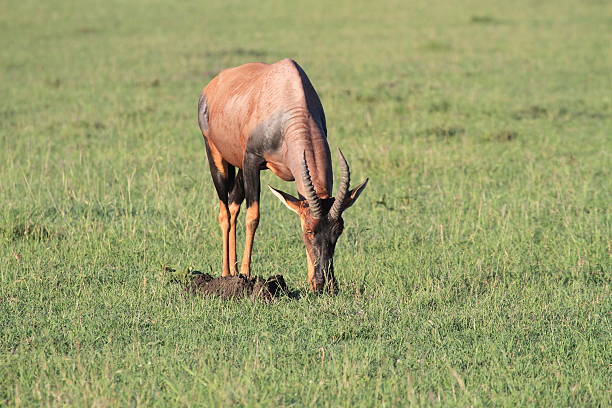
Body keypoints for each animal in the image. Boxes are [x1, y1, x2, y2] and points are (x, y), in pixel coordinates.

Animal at [198, 58, 366, 294]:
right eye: (309, 230)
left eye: (339, 230)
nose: (324, 284)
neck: (288, 94)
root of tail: (212, 86)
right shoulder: (252, 161)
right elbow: (254, 216)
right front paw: (247, 275)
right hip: (215, 154)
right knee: (224, 212)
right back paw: (227, 273)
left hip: (238, 165)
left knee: (233, 204)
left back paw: (233, 270)